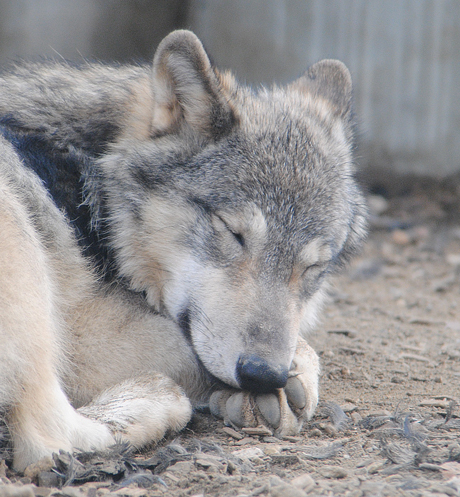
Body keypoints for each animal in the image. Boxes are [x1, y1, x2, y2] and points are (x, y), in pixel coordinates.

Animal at [0, 29, 366, 470]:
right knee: (49, 439)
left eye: (313, 267)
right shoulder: (83, 330)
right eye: (233, 232)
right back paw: (158, 399)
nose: (263, 375)